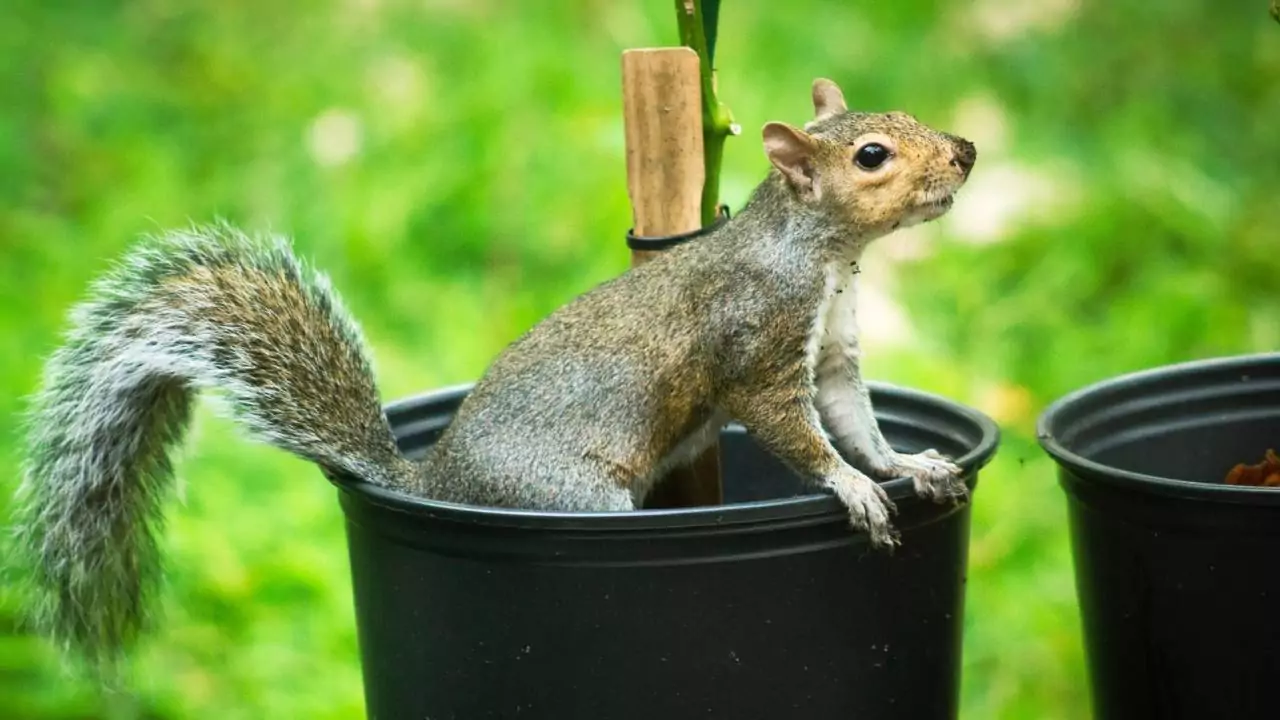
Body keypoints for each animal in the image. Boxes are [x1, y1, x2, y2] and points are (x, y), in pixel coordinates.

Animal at [11, 78, 977, 675]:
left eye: (907, 115)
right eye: (873, 156)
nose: (966, 150)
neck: (826, 256)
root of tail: (435, 479)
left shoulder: (834, 357)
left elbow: (855, 422)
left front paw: (906, 467)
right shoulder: (758, 347)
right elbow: (796, 433)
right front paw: (851, 491)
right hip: (572, 496)